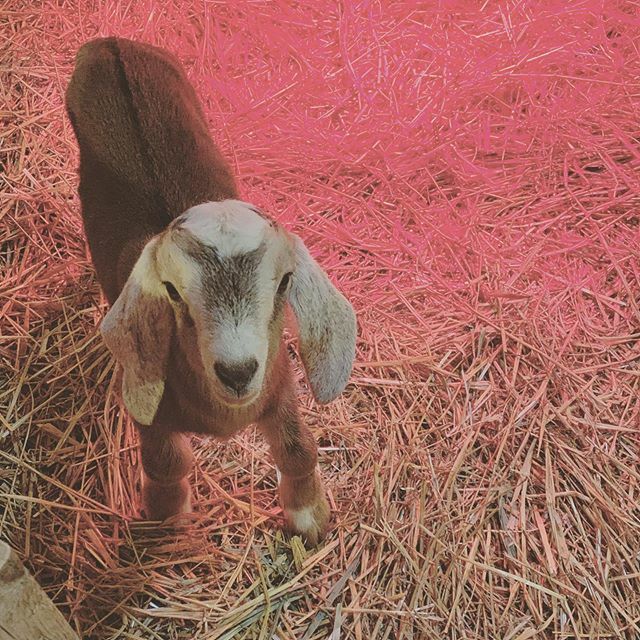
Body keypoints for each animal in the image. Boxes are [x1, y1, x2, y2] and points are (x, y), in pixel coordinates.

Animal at [65, 37, 356, 545]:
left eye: (284, 282)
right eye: (172, 291)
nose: (237, 372)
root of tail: (110, 45)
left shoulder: (278, 382)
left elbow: (298, 447)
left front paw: (308, 515)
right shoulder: (152, 408)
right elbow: (166, 460)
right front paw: (167, 515)